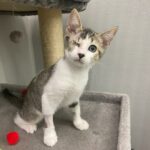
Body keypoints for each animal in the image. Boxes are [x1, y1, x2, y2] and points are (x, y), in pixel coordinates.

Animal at [2, 9, 117, 146]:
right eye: (76, 43)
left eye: (92, 48)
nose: (81, 54)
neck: (75, 73)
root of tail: (24, 101)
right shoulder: (47, 97)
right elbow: (49, 119)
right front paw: (50, 135)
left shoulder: (75, 96)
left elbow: (76, 109)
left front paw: (78, 122)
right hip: (35, 110)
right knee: (19, 117)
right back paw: (28, 125)